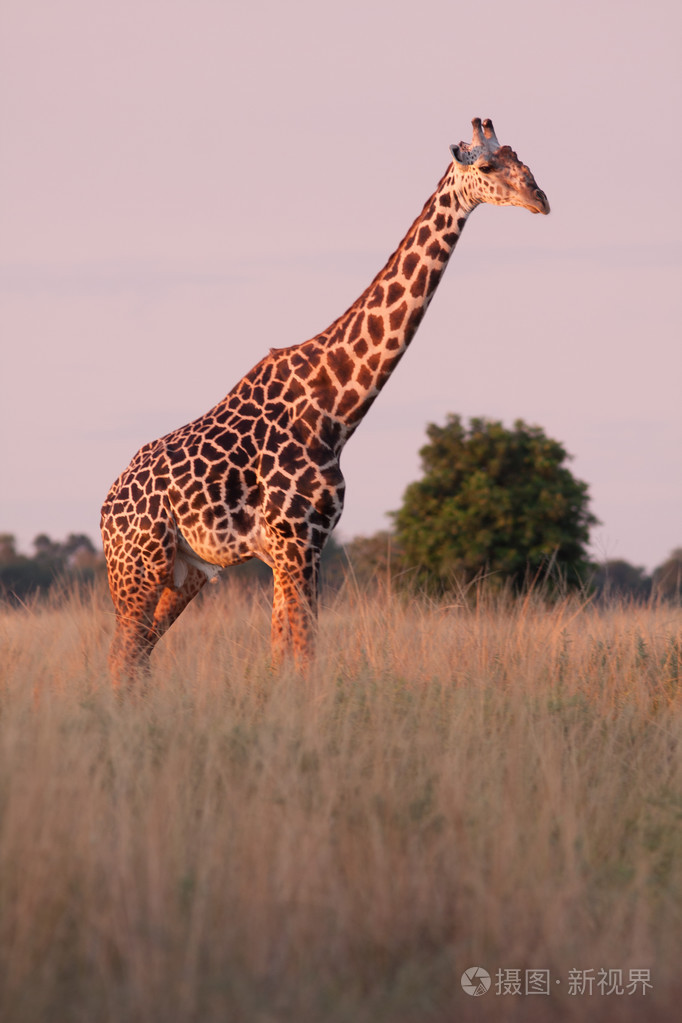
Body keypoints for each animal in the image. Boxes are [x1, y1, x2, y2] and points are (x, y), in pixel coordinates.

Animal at [100, 117, 548, 679]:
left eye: (522, 158)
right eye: (487, 166)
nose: (540, 198)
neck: (335, 409)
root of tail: (105, 509)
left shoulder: (300, 547)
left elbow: (284, 655)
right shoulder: (296, 542)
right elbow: (303, 653)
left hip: (187, 571)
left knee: (136, 654)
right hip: (137, 565)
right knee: (123, 655)